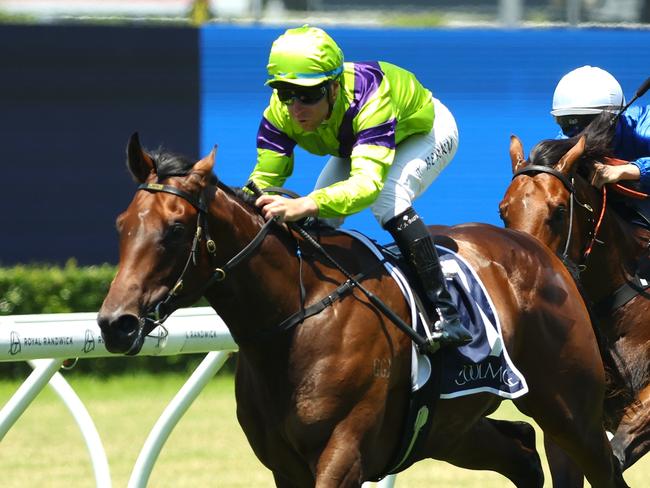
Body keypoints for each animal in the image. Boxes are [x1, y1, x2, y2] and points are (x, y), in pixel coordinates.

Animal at [98, 132, 624, 486]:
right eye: (122, 224)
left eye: (175, 229)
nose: (115, 324)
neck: (298, 316)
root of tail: (546, 254)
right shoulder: (284, 466)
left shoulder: (342, 455)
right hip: (448, 428)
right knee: (521, 452)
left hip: (571, 409)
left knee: (602, 468)